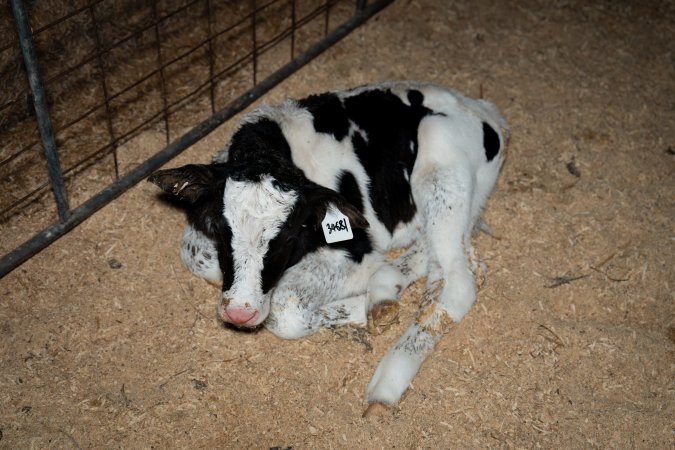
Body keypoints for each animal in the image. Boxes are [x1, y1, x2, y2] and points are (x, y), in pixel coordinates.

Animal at [148, 81, 508, 411]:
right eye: (223, 229)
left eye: (288, 235)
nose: (240, 312)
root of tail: (482, 108)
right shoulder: (202, 237)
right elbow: (196, 255)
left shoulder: (354, 244)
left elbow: (286, 310)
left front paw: (361, 299)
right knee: (449, 254)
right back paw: (384, 290)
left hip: (440, 160)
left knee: (456, 279)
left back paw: (387, 377)